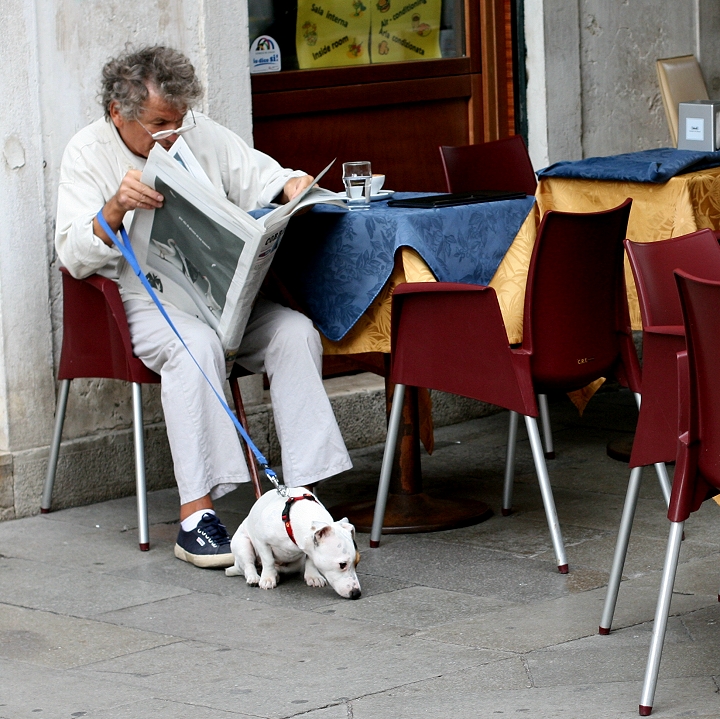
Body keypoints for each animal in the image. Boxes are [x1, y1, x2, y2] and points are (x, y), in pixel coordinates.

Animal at [225, 486, 360, 600]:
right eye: (342, 564)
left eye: (357, 563)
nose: (357, 593)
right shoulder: (261, 541)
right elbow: (268, 560)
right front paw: (268, 578)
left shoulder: (309, 549)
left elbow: (310, 561)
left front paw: (313, 576)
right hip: (243, 545)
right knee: (248, 565)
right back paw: (254, 577)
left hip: (296, 564)